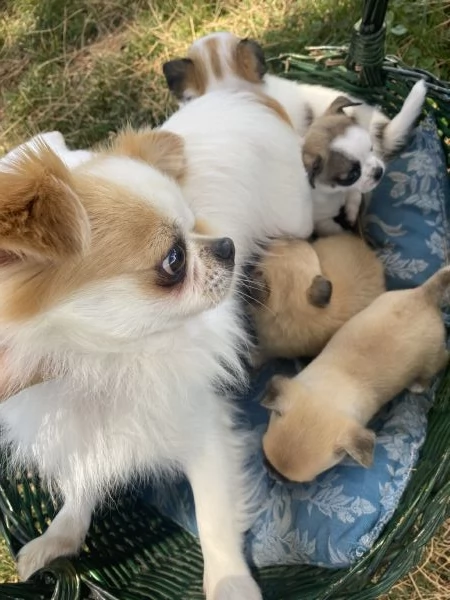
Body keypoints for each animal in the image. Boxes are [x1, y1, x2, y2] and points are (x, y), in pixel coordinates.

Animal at [260, 268, 450, 482]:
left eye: (293, 481)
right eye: (264, 458)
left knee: (442, 361)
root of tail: (424, 295)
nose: (273, 475)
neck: (330, 389)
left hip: (432, 359)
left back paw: (419, 384)